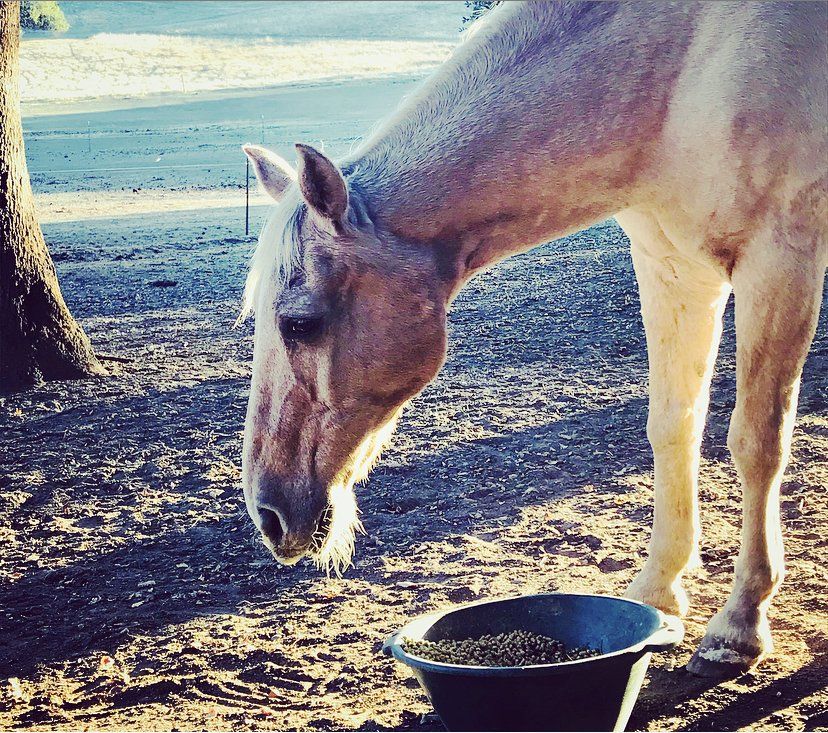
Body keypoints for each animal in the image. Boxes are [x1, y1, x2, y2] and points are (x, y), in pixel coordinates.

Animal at [238, 1, 827, 677]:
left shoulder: (779, 260)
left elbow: (757, 441)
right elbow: (673, 426)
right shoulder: (673, 267)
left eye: (299, 323)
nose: (268, 514)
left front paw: (739, 624)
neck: (684, 67)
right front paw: (658, 591)